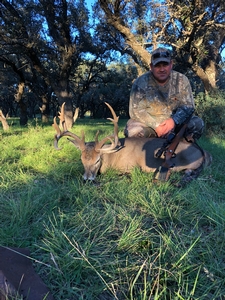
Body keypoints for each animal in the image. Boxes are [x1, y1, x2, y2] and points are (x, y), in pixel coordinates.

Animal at [52, 102, 211, 184]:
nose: (87, 178)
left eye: (97, 160)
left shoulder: (131, 166)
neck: (111, 158)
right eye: (82, 160)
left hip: (183, 162)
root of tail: (202, 152)